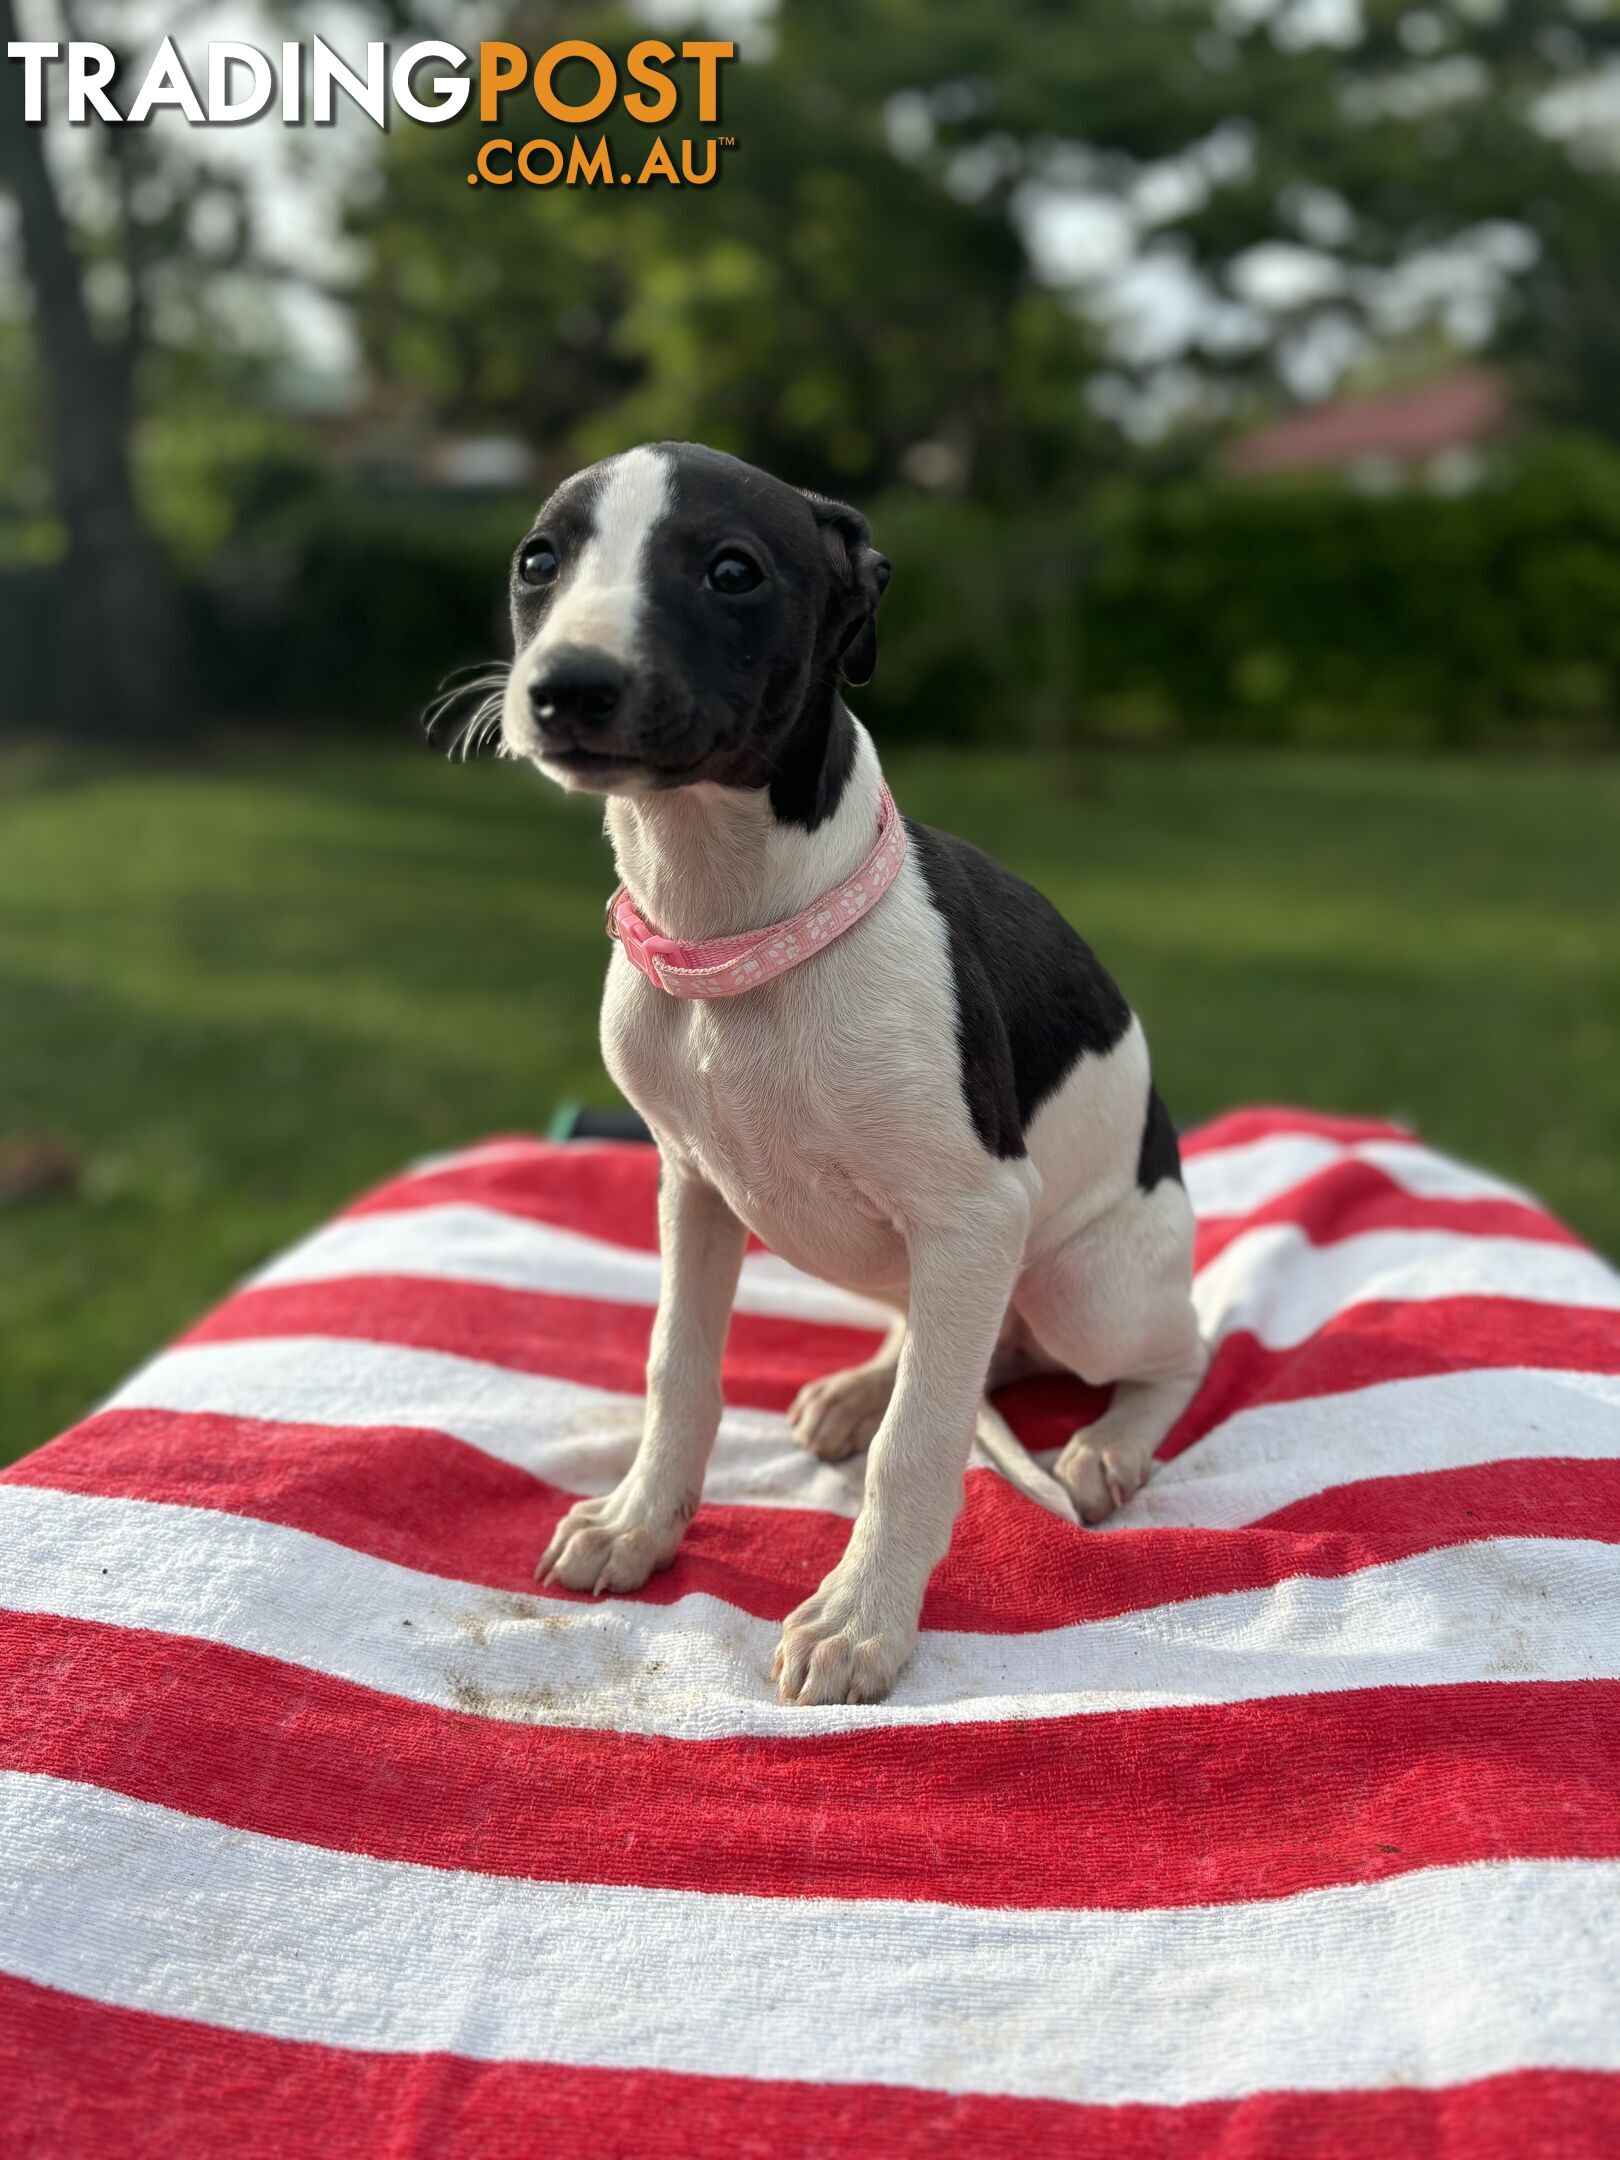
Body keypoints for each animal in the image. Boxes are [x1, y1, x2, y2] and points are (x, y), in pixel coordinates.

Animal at [501, 447, 1209, 1710]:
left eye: (733, 571)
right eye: (541, 561)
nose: (566, 688)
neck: (734, 938)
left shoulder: (976, 1208)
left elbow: (920, 1444)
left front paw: (862, 1616)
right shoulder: (692, 1187)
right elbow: (678, 1367)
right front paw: (641, 1522)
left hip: (1084, 1285)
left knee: (1175, 1350)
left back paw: (1112, 1443)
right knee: (974, 1343)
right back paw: (862, 1385)